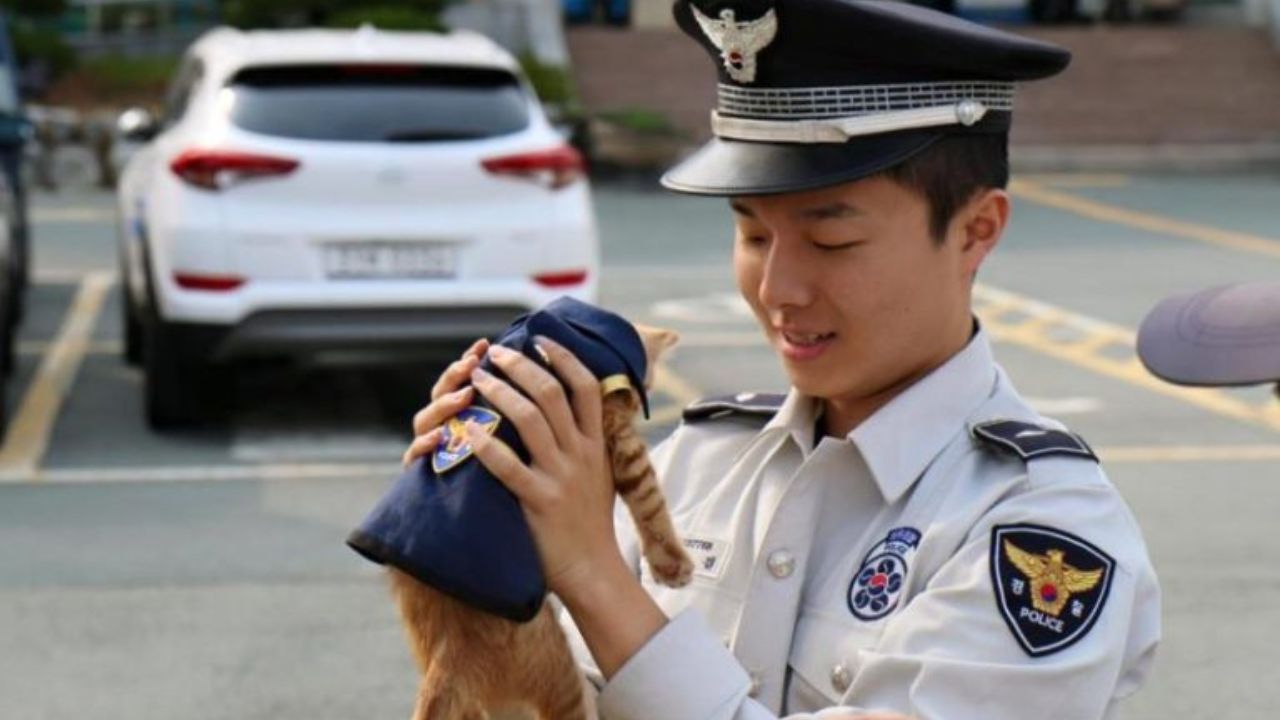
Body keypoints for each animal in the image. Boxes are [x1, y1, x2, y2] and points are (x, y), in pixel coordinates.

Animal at [391, 322, 696, 712]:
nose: (636, 403)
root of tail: (445, 652)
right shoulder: (616, 430)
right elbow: (649, 499)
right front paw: (670, 563)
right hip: (560, 670)